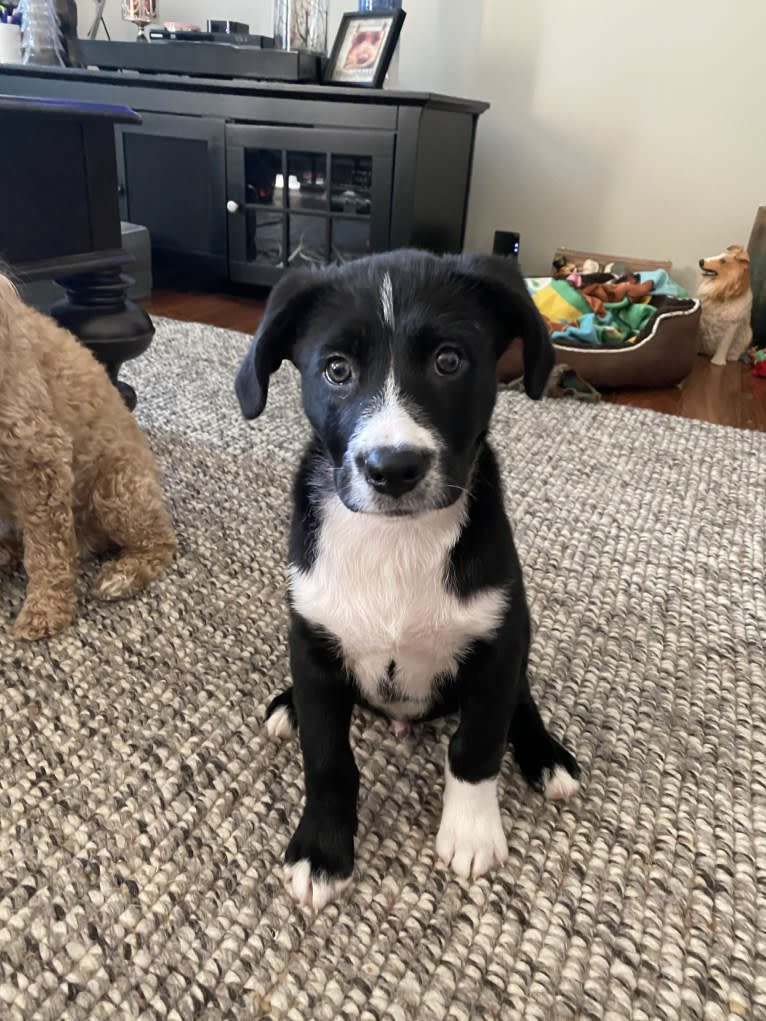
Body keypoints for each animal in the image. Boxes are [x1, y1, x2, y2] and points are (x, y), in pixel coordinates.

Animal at [0, 271, 175, 637]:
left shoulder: (39, 458)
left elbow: (47, 553)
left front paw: (45, 611)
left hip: (116, 488)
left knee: (160, 541)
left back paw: (123, 575)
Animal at [235, 249, 580, 910]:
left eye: (449, 360)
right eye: (336, 370)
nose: (392, 468)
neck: (394, 543)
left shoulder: (498, 644)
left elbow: (477, 745)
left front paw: (470, 832)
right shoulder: (313, 638)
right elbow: (327, 759)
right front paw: (322, 849)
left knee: (522, 703)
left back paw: (546, 758)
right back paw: (288, 706)